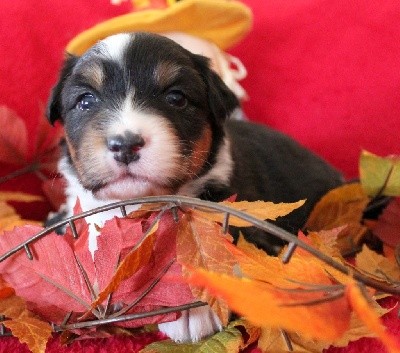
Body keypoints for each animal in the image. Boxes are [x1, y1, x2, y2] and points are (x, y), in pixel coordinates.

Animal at [46, 32, 340, 340]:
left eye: (176, 98)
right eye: (86, 101)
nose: (125, 144)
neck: (142, 206)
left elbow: (204, 246)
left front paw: (192, 310)